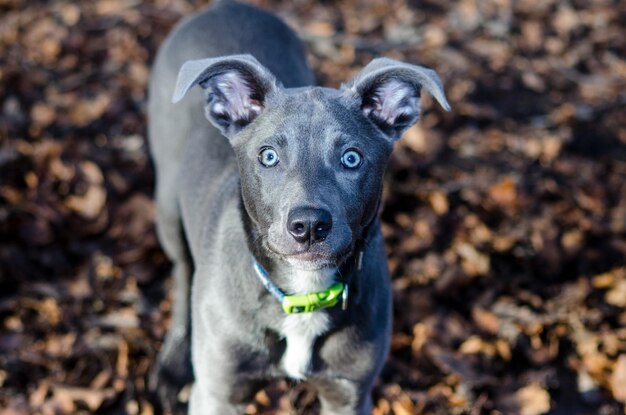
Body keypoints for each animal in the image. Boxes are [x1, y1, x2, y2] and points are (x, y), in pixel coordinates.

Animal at [146, 1, 448, 414]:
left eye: (351, 158)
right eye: (268, 156)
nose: (308, 226)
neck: (303, 293)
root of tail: (226, 7)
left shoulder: (349, 395)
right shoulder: (218, 394)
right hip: (168, 209)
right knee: (182, 269)